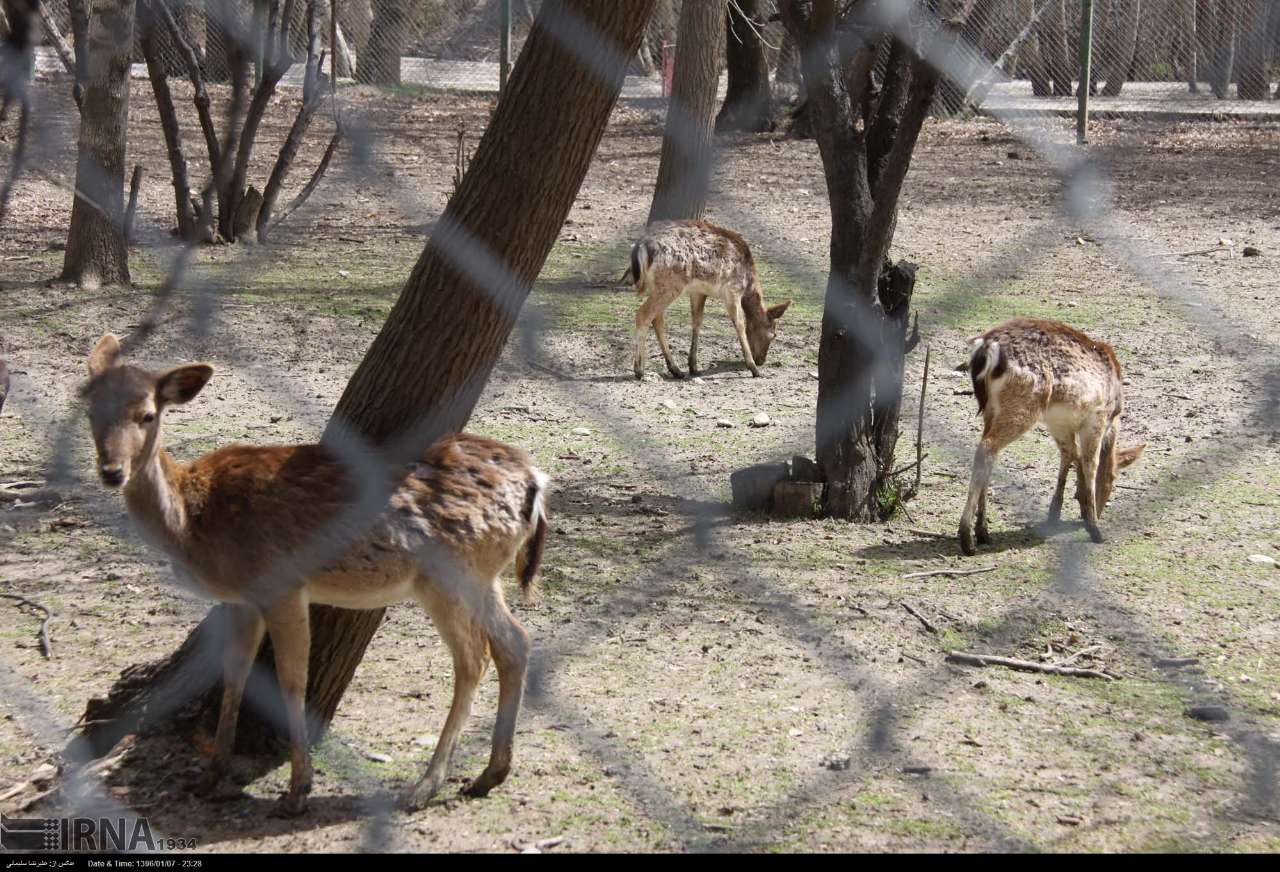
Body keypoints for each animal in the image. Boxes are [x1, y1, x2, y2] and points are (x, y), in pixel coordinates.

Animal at [80, 335, 550, 814]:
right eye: (89, 410)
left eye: (147, 414)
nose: (112, 472)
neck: (193, 521)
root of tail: (535, 481)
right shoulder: (240, 599)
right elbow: (235, 675)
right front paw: (211, 776)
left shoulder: (281, 585)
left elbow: (292, 681)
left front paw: (297, 788)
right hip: (483, 575)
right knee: (514, 642)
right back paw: (490, 773)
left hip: (449, 574)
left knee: (473, 658)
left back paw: (425, 786)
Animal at [622, 218, 788, 379]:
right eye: (774, 335)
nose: (761, 360)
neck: (748, 282)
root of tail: (641, 247)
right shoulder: (733, 289)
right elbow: (739, 323)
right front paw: (753, 368)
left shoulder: (699, 291)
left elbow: (697, 321)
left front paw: (693, 366)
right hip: (670, 284)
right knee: (643, 314)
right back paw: (639, 370)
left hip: (657, 286)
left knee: (657, 319)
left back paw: (676, 369)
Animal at [957, 320, 1146, 558]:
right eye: (1113, 479)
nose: (1101, 511)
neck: (1115, 414)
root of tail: (986, 346)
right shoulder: (1097, 417)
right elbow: (1089, 463)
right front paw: (1094, 528)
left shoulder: (1059, 423)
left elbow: (1070, 454)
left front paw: (1055, 514)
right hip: (1023, 404)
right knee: (986, 448)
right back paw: (967, 539)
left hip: (991, 409)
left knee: (990, 453)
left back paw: (983, 532)